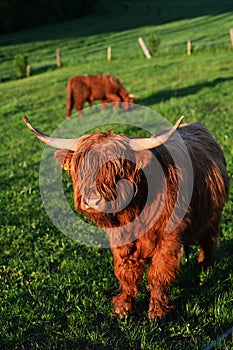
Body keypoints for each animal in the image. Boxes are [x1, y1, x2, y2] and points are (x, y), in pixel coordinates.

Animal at [24, 116, 229, 318]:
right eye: (81, 167)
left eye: (116, 168)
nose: (91, 200)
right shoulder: (120, 239)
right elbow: (125, 271)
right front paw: (124, 305)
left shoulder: (169, 238)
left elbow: (159, 273)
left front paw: (156, 311)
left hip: (213, 216)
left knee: (209, 239)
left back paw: (204, 264)